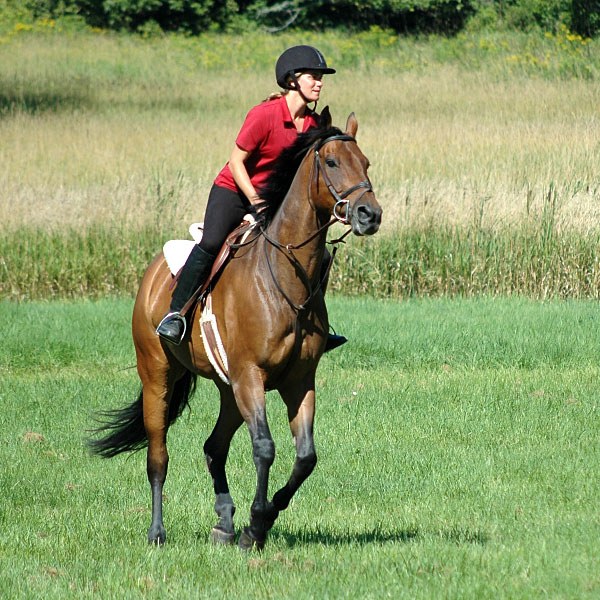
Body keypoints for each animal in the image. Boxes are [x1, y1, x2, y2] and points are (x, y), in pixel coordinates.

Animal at [88, 109, 380, 552]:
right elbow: (265, 448)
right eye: (331, 163)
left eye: (365, 163)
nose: (370, 215)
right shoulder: (251, 376)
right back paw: (158, 532)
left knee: (214, 446)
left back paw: (224, 522)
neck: (284, 277)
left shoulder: (297, 381)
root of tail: (152, 273)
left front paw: (261, 518)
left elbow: (305, 456)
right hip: (159, 376)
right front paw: (255, 527)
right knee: (158, 456)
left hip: (229, 390)